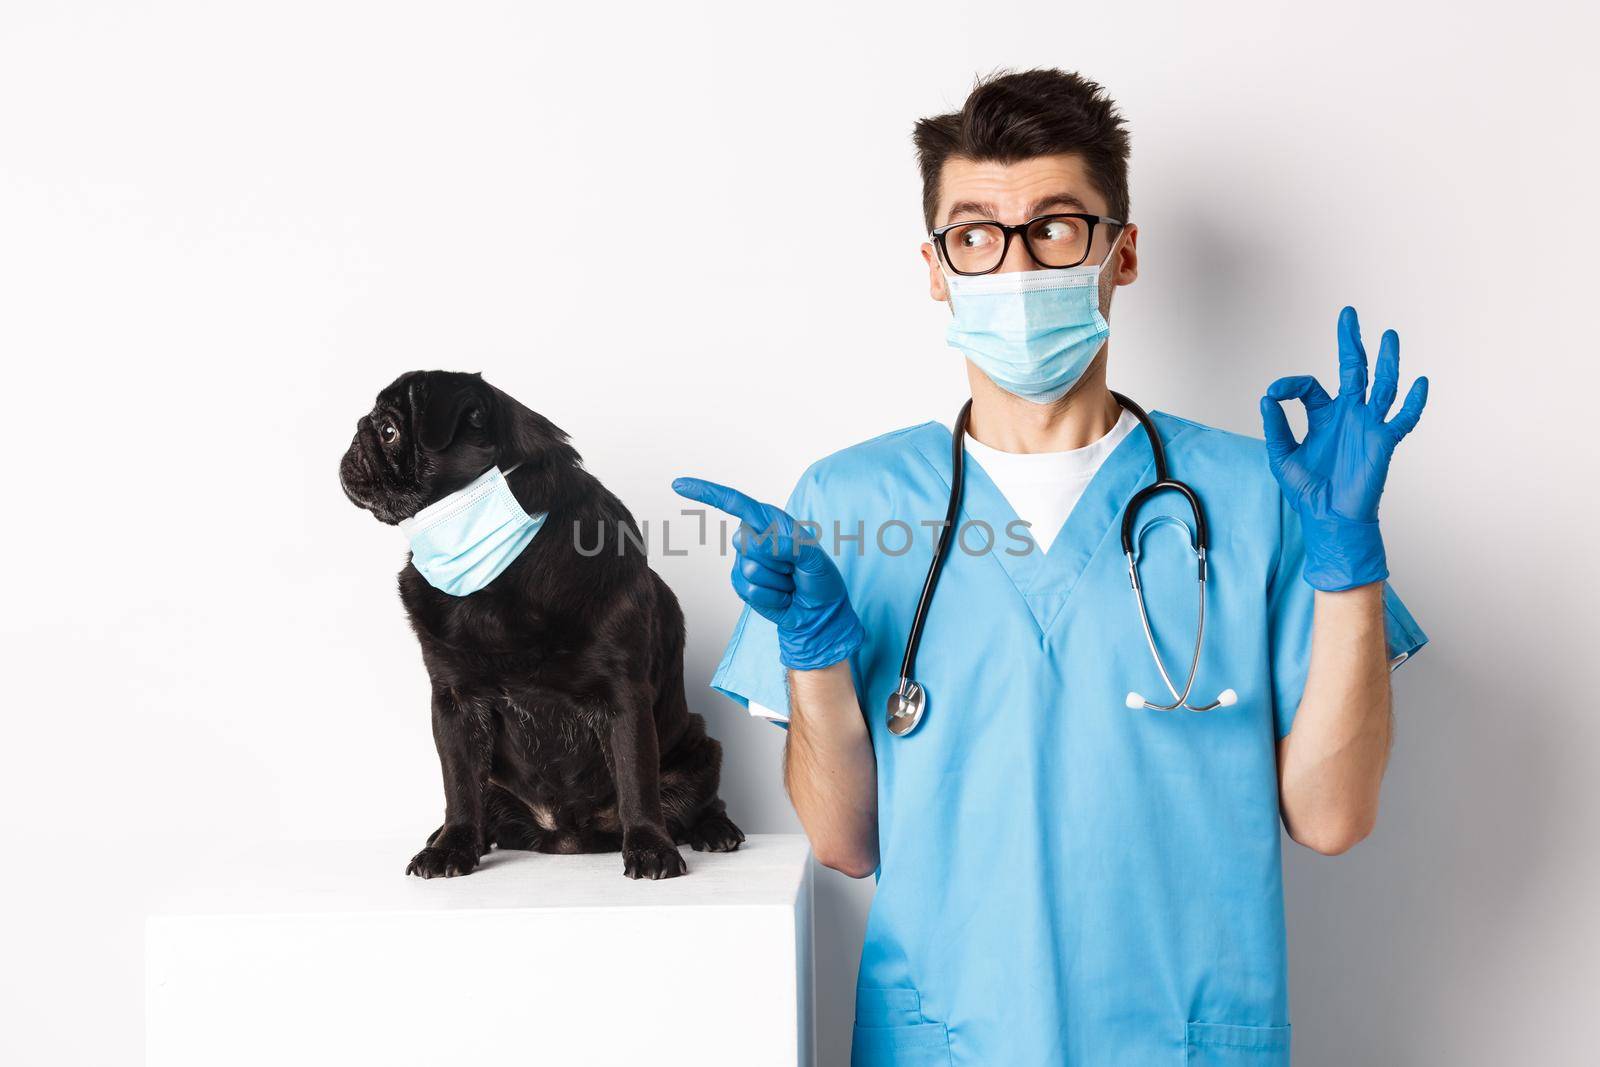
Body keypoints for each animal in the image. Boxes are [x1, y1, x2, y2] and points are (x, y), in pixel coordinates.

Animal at [344, 371, 742, 883]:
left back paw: (717, 830)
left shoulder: (623, 698)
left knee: (702, 801)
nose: (357, 434)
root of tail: (565, 836)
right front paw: (452, 846)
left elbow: (637, 780)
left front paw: (651, 847)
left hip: (702, 747)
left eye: (390, 431)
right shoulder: (454, 703)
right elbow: (458, 786)